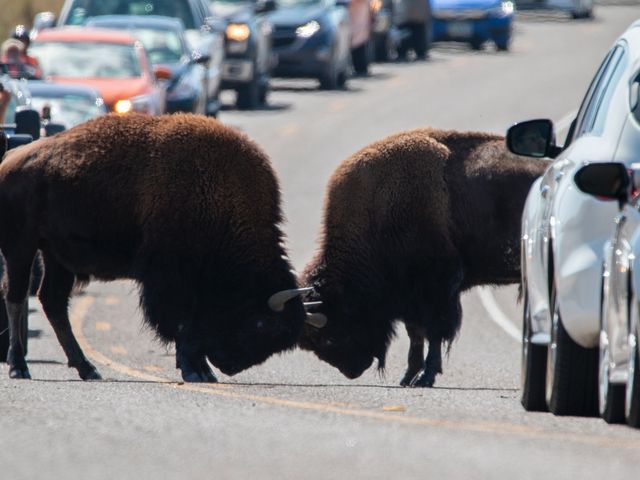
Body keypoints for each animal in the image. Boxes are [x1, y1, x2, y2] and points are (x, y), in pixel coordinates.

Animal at [0, 112, 318, 382]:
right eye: (262, 324)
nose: (229, 366)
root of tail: (10, 159)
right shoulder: (171, 279)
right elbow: (180, 324)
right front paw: (195, 370)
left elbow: (191, 325)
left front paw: (202, 370)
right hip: (20, 248)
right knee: (16, 296)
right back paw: (19, 367)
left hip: (56, 256)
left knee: (53, 302)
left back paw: (87, 368)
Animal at [298, 126, 548, 386]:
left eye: (328, 335)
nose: (352, 370)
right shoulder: (411, 297)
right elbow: (416, 334)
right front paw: (408, 376)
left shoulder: (436, 289)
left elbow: (434, 333)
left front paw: (425, 376)